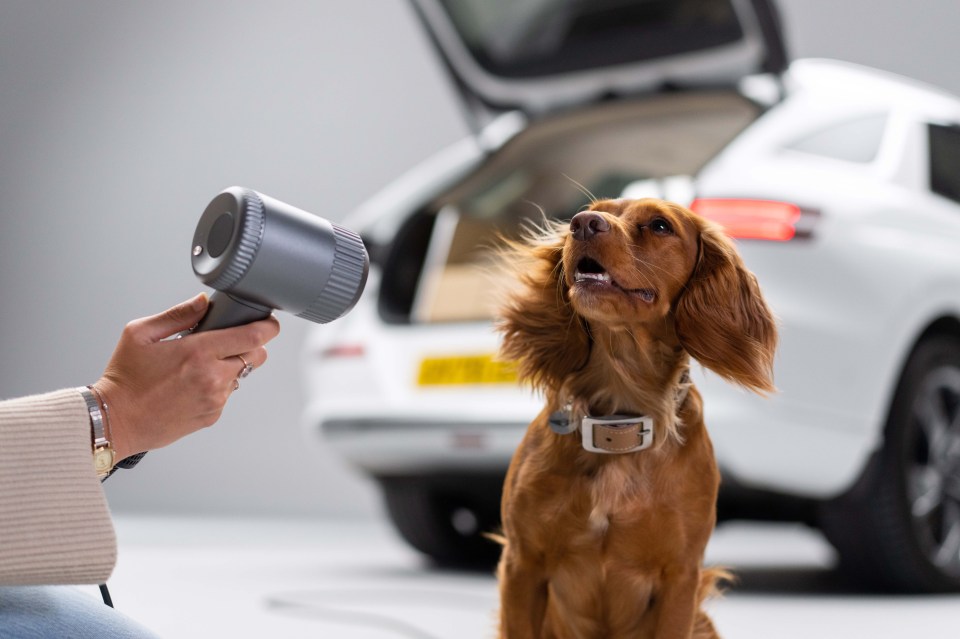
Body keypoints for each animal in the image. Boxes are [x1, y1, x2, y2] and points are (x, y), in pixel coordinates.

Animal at [492, 198, 776, 636]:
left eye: (659, 225)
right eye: (590, 211)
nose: (583, 224)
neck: (618, 423)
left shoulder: (680, 578)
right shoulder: (522, 563)